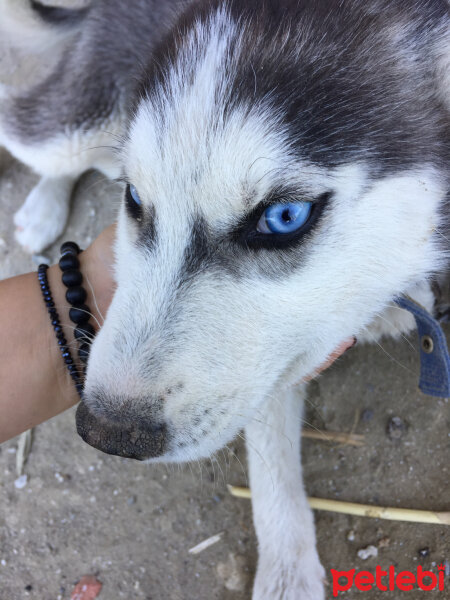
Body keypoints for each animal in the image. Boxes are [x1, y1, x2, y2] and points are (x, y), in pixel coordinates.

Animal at [0, 0, 450, 596]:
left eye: (284, 217)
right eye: (135, 198)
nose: (107, 432)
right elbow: (271, 460)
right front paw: (287, 569)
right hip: (66, 127)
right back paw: (42, 208)